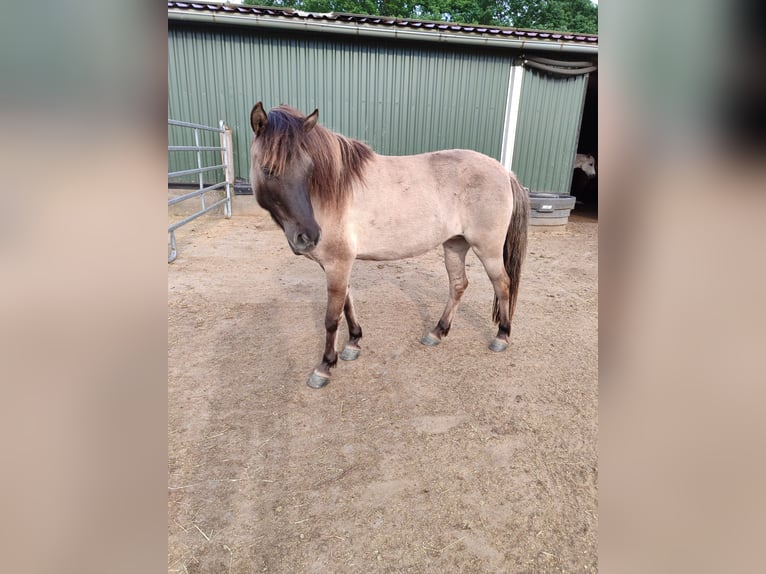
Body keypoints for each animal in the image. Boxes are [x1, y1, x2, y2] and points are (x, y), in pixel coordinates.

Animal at [249, 103, 532, 392]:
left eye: (309, 170)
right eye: (268, 169)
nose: (309, 236)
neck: (331, 192)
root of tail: (504, 172)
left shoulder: (337, 263)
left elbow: (331, 317)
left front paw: (325, 366)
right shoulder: (339, 265)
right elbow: (348, 303)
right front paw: (353, 343)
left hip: (487, 249)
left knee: (503, 284)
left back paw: (501, 336)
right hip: (454, 245)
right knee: (458, 285)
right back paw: (437, 332)